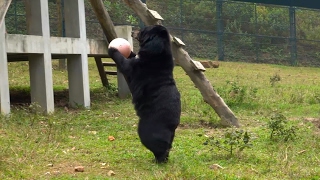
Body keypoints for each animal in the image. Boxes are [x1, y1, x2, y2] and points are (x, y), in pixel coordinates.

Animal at [108, 24, 181, 164]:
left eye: (143, 30)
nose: (133, 31)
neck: (158, 53)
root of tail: (172, 126)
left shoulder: (138, 67)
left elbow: (125, 64)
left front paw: (113, 48)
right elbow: (132, 56)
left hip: (146, 128)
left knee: (158, 146)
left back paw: (159, 160)